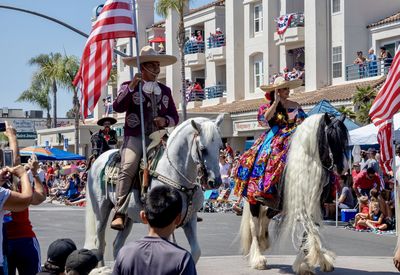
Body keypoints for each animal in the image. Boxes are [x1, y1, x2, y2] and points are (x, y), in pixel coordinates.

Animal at [83, 116, 225, 264]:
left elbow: (196, 251)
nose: (215, 181)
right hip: (101, 210)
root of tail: (98, 160)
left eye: (221, 147)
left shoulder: (190, 219)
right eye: (203, 149)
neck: (174, 174)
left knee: (117, 244)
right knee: (100, 243)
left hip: (127, 217)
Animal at [239, 113, 348, 274]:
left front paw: (308, 263)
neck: (309, 162)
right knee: (254, 225)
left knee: (265, 217)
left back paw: (264, 241)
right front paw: (308, 262)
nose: (343, 168)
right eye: (331, 138)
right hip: (254, 201)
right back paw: (258, 259)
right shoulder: (301, 206)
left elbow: (309, 231)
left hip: (275, 205)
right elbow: (310, 230)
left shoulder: (317, 204)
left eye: (345, 139)